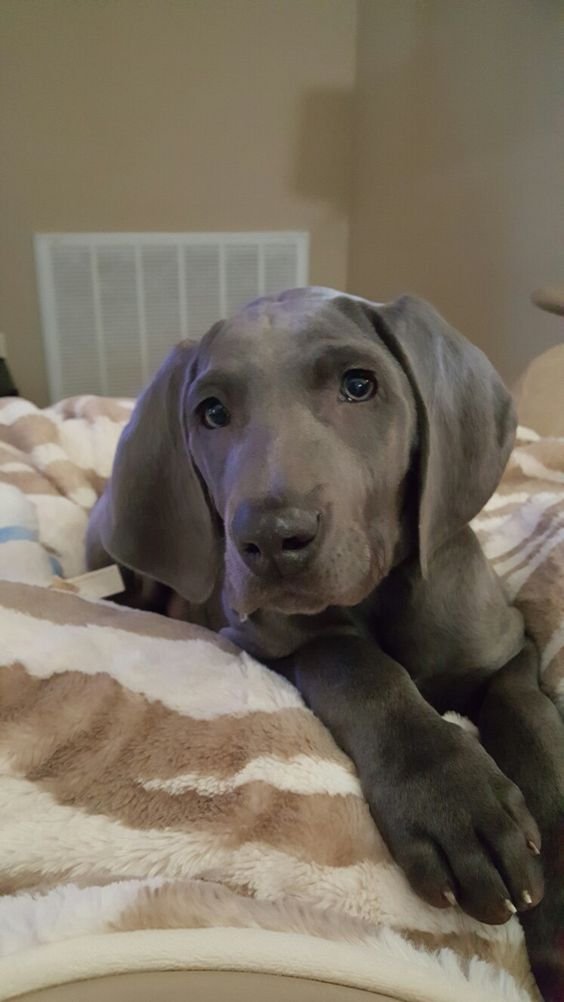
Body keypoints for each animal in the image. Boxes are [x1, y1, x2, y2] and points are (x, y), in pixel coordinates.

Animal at [88, 286, 564, 997]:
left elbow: (534, 726)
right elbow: (353, 661)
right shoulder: (260, 635)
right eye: (212, 411)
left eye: (358, 385)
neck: (378, 600)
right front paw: (454, 802)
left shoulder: (509, 650)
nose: (268, 539)